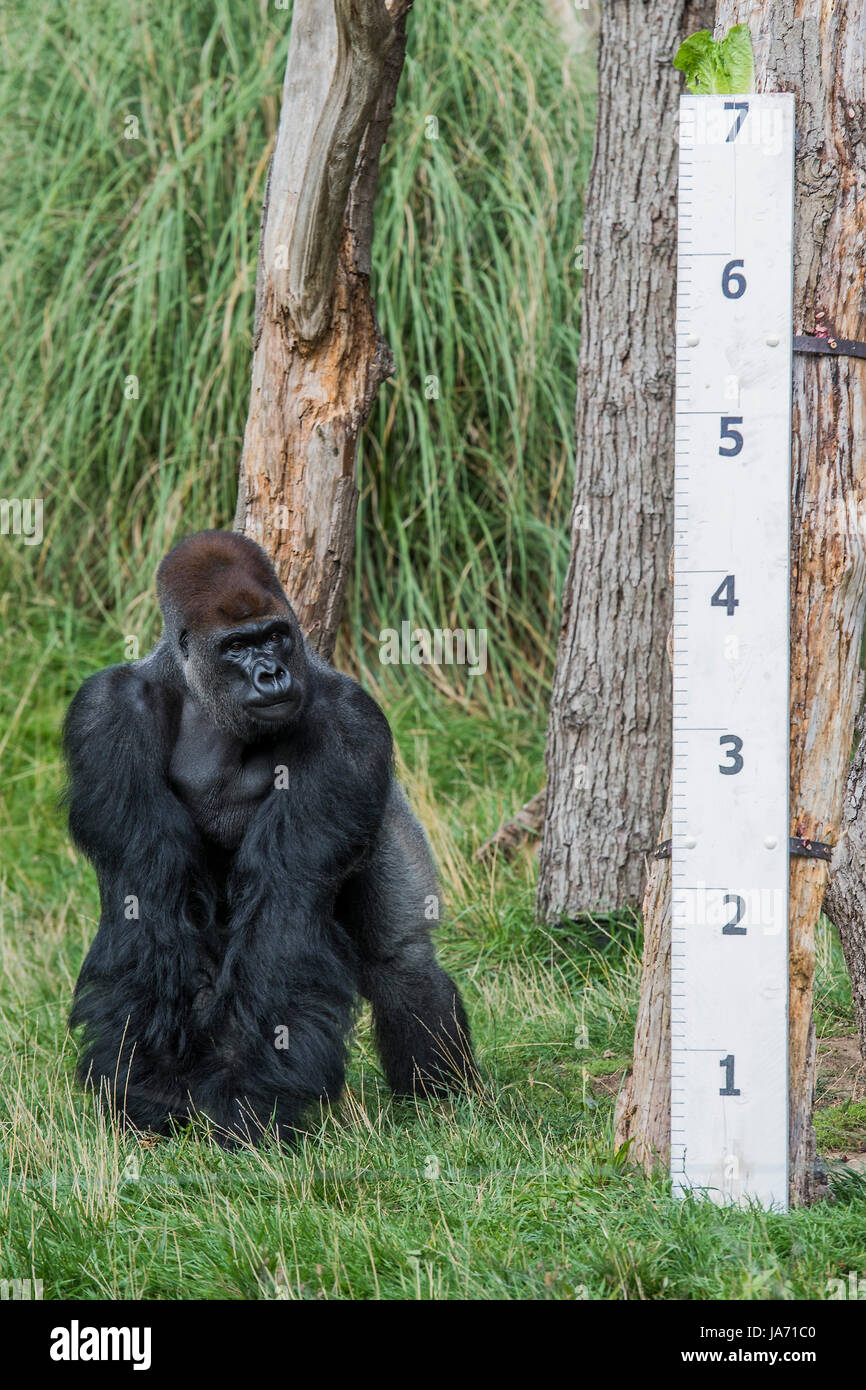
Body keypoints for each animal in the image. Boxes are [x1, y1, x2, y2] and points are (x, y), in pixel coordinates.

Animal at [64, 525, 478, 1145]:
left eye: (277, 636)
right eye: (237, 646)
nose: (272, 674)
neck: (203, 699)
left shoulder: (347, 722)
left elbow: (284, 912)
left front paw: (247, 1102)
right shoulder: (105, 712)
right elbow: (149, 902)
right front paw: (151, 1090)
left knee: (401, 963)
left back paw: (441, 1096)